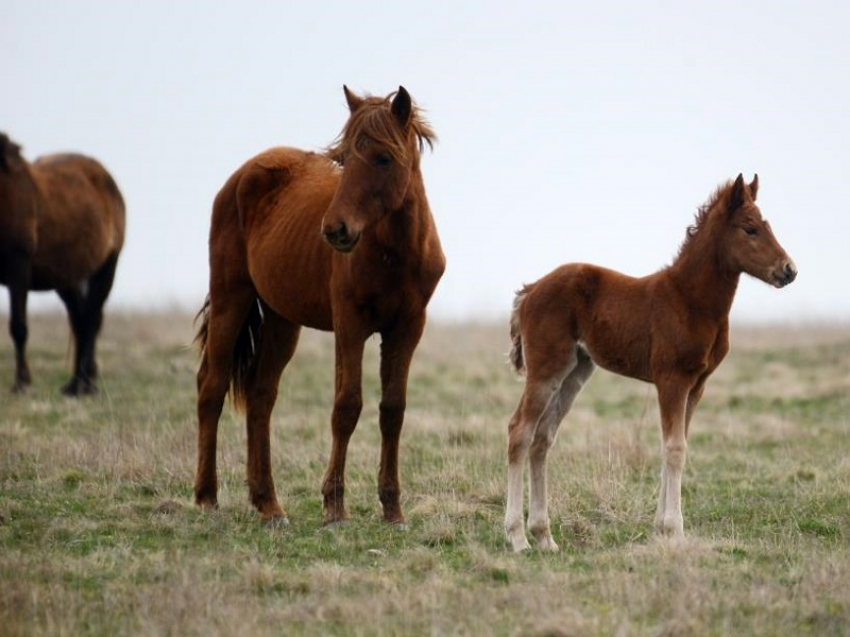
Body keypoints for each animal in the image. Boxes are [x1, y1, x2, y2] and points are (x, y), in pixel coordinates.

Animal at [0, 134, 126, 392]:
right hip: (65, 277)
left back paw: (83, 385)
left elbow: (18, 326)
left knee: (91, 319)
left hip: (106, 268)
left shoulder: (18, 266)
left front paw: (22, 382)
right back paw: (77, 382)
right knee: (80, 319)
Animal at [193, 87, 444, 524]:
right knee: (212, 387)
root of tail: (243, 176)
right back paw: (207, 496)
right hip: (231, 299)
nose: (335, 230)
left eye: (383, 158)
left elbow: (393, 410)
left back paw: (269, 504)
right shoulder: (350, 325)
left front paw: (393, 510)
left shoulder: (408, 328)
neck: (395, 254)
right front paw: (335, 506)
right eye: (343, 158)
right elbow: (347, 406)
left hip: (281, 320)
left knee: (261, 397)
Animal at [506, 175, 800, 552]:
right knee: (520, 431)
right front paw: (674, 530)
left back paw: (544, 536)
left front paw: (662, 528)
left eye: (767, 225)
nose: (789, 270)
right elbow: (675, 448)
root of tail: (530, 291)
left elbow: (676, 445)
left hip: (576, 370)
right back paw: (517, 537)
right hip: (546, 369)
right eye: (750, 229)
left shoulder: (697, 385)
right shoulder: (671, 379)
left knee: (543, 438)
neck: (691, 301)